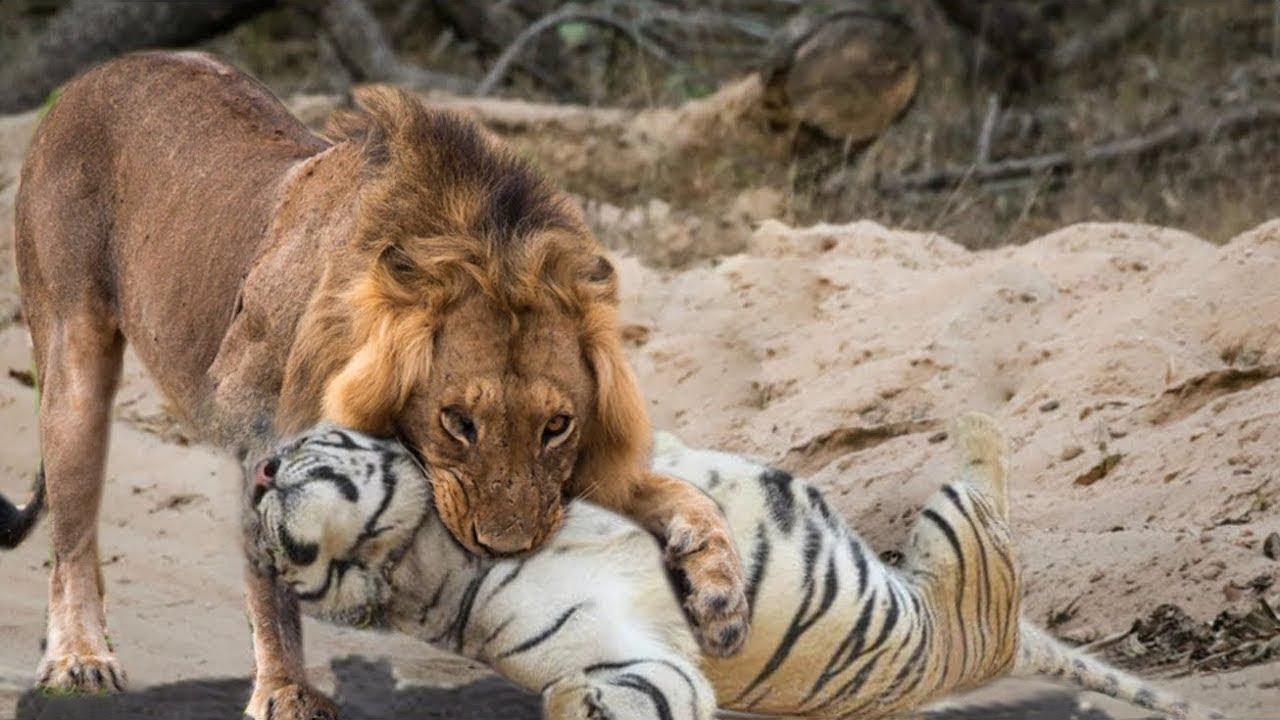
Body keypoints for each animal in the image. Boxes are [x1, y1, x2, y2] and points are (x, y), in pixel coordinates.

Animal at [5, 51, 747, 717]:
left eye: (557, 426)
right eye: (458, 421)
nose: (508, 549)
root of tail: (92, 75)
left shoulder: (569, 476)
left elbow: (684, 494)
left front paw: (722, 598)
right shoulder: (262, 438)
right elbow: (270, 585)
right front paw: (286, 693)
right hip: (72, 362)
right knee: (72, 535)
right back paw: (79, 659)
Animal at [252, 415, 1218, 717]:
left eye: (299, 444)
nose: (259, 468)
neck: (415, 546)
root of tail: (1007, 644)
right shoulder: (634, 656)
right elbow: (621, 689)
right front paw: (578, 706)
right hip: (955, 526)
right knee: (987, 468)